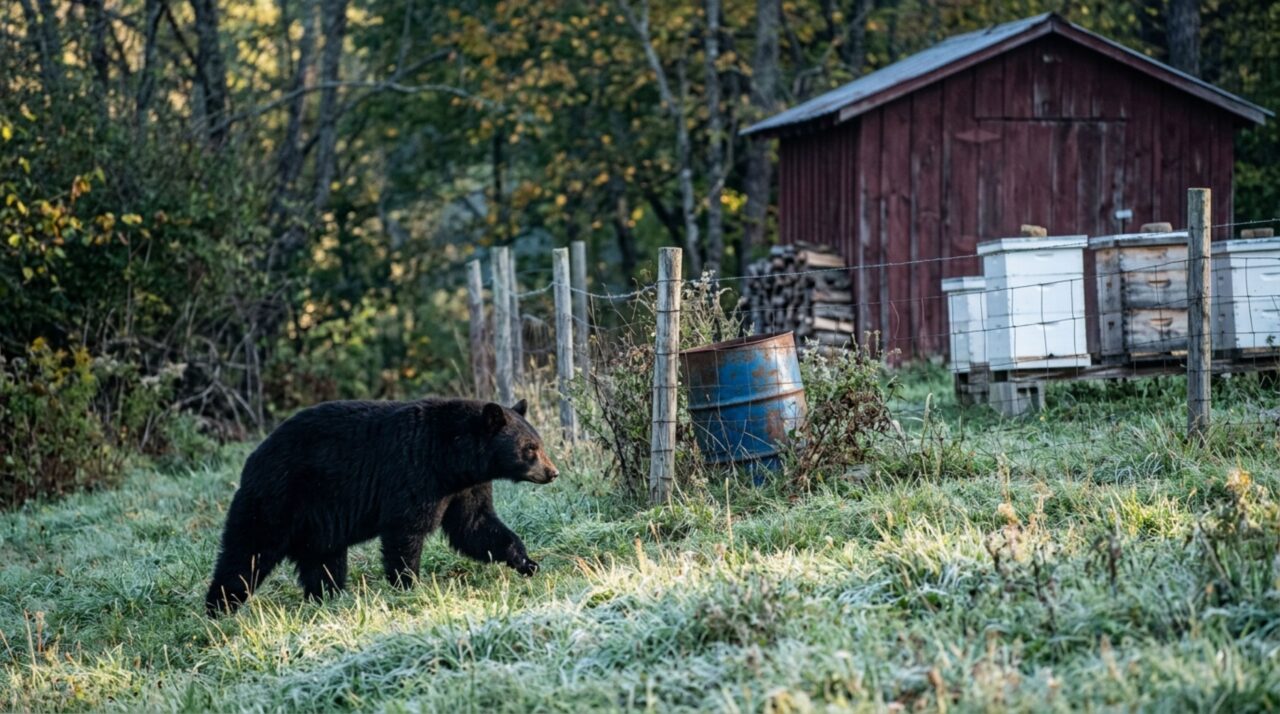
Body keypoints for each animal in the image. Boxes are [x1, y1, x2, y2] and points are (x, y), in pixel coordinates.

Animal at [204, 398, 556, 616]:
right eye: (530, 448)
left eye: (540, 443)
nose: (552, 472)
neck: (452, 457)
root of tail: (252, 459)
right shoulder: (414, 473)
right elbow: (406, 532)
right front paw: (409, 584)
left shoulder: (465, 487)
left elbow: (475, 526)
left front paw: (527, 562)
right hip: (277, 500)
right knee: (246, 553)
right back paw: (219, 608)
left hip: (318, 524)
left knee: (324, 563)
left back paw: (327, 599)